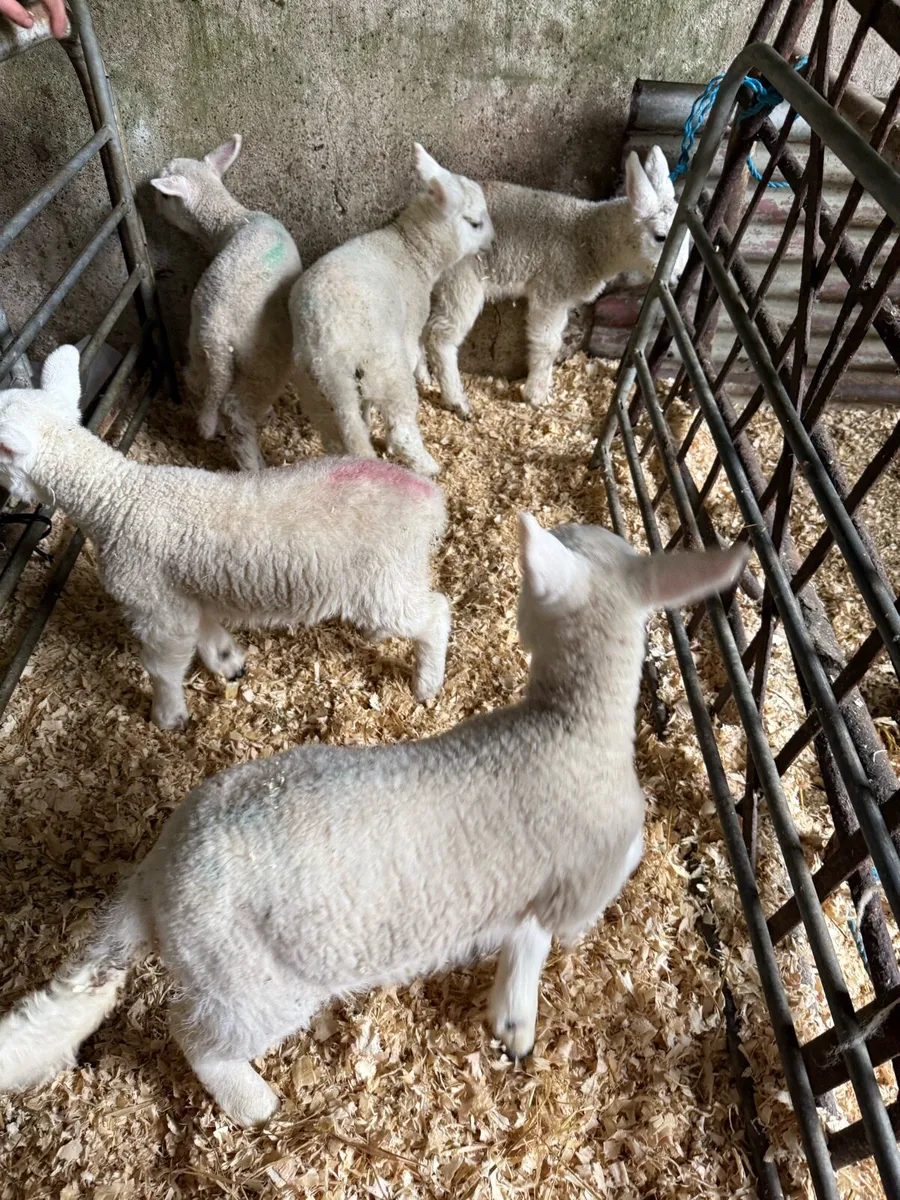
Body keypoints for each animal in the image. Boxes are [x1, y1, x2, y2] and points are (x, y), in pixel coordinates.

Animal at [0, 345, 450, 727]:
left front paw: (168, 716)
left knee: (435, 614)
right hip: (391, 577)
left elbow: (163, 666)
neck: (118, 499)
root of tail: (429, 501)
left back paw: (426, 683)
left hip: (381, 582)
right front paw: (228, 662)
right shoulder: (184, 594)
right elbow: (207, 633)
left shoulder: (157, 607)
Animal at [0, 509, 749, 1127]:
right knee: (196, 1036)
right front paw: (518, 1016)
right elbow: (539, 936)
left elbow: (522, 936)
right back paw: (252, 1103)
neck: (569, 723)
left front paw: (509, 1018)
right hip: (252, 982)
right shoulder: (578, 890)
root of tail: (155, 875)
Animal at [151, 135, 303, 471]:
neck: (233, 219)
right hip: (262, 360)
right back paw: (254, 465)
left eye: (164, 196)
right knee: (237, 412)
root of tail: (217, 333)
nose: (148, 195)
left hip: (200, 346)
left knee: (198, 382)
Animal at [290, 143, 493, 478]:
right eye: (474, 223)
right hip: (386, 368)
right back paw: (427, 466)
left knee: (338, 434)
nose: (492, 242)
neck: (411, 249)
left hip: (317, 393)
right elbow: (419, 352)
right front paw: (426, 377)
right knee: (401, 431)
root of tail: (326, 348)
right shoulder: (410, 324)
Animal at [421, 146, 689, 415]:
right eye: (661, 237)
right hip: (461, 279)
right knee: (440, 336)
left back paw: (422, 378)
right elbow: (548, 343)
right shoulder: (552, 289)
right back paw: (456, 400)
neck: (589, 237)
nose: (677, 277)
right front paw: (536, 394)